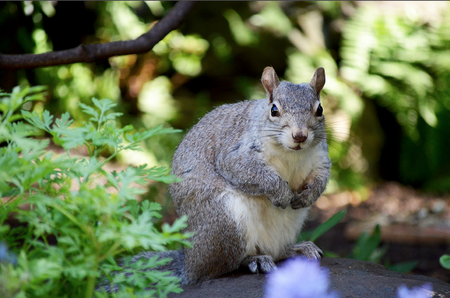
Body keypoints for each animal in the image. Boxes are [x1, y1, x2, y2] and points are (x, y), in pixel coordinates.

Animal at [123, 66, 330, 286]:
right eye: (274, 110)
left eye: (319, 109)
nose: (300, 136)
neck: (292, 154)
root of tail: (189, 264)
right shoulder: (234, 154)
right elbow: (252, 173)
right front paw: (281, 192)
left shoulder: (321, 158)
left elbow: (322, 177)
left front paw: (309, 195)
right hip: (225, 222)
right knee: (222, 266)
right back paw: (254, 259)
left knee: (277, 253)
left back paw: (297, 249)